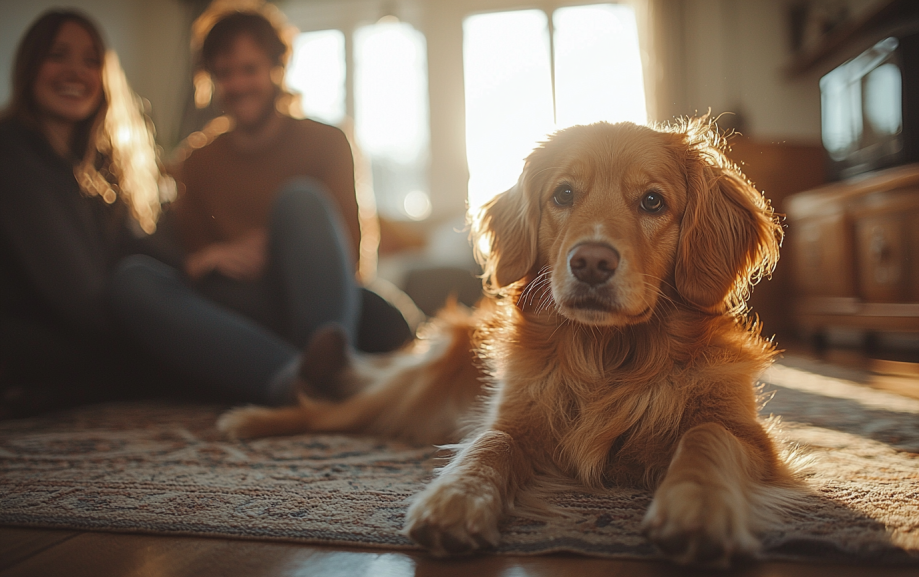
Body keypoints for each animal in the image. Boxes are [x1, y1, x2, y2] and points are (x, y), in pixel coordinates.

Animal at [219, 119, 800, 564]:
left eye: (653, 202)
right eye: (563, 194)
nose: (591, 262)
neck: (608, 357)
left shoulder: (748, 436)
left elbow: (705, 439)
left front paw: (698, 507)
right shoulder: (515, 417)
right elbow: (489, 445)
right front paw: (455, 498)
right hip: (407, 390)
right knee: (332, 411)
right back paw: (250, 420)